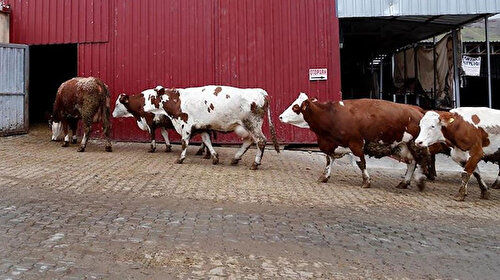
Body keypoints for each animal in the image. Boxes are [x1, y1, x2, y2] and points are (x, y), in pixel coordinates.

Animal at [143, 85, 280, 168]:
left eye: (152, 97)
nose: (143, 107)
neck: (178, 101)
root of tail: (259, 91)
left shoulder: (185, 125)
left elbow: (184, 143)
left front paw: (181, 158)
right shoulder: (202, 127)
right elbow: (207, 141)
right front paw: (214, 157)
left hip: (253, 124)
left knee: (260, 141)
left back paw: (255, 163)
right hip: (246, 126)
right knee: (249, 140)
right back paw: (235, 158)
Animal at [280, 94, 432, 190]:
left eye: (295, 107)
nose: (280, 116)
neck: (331, 116)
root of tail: (416, 109)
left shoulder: (356, 144)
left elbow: (361, 163)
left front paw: (366, 181)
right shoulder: (331, 144)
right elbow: (328, 161)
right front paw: (324, 177)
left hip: (415, 144)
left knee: (422, 161)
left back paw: (420, 180)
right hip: (401, 145)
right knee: (411, 162)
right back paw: (404, 182)